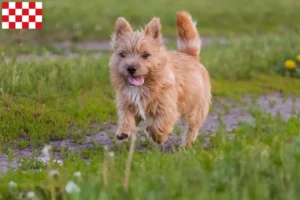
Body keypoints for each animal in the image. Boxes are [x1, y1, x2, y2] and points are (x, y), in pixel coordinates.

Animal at [108, 11, 211, 148]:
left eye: (145, 55)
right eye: (122, 54)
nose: (130, 68)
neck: (144, 85)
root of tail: (189, 55)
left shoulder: (167, 109)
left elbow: (158, 125)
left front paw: (158, 137)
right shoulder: (127, 104)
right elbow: (126, 117)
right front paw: (123, 130)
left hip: (196, 107)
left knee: (192, 127)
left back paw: (186, 145)